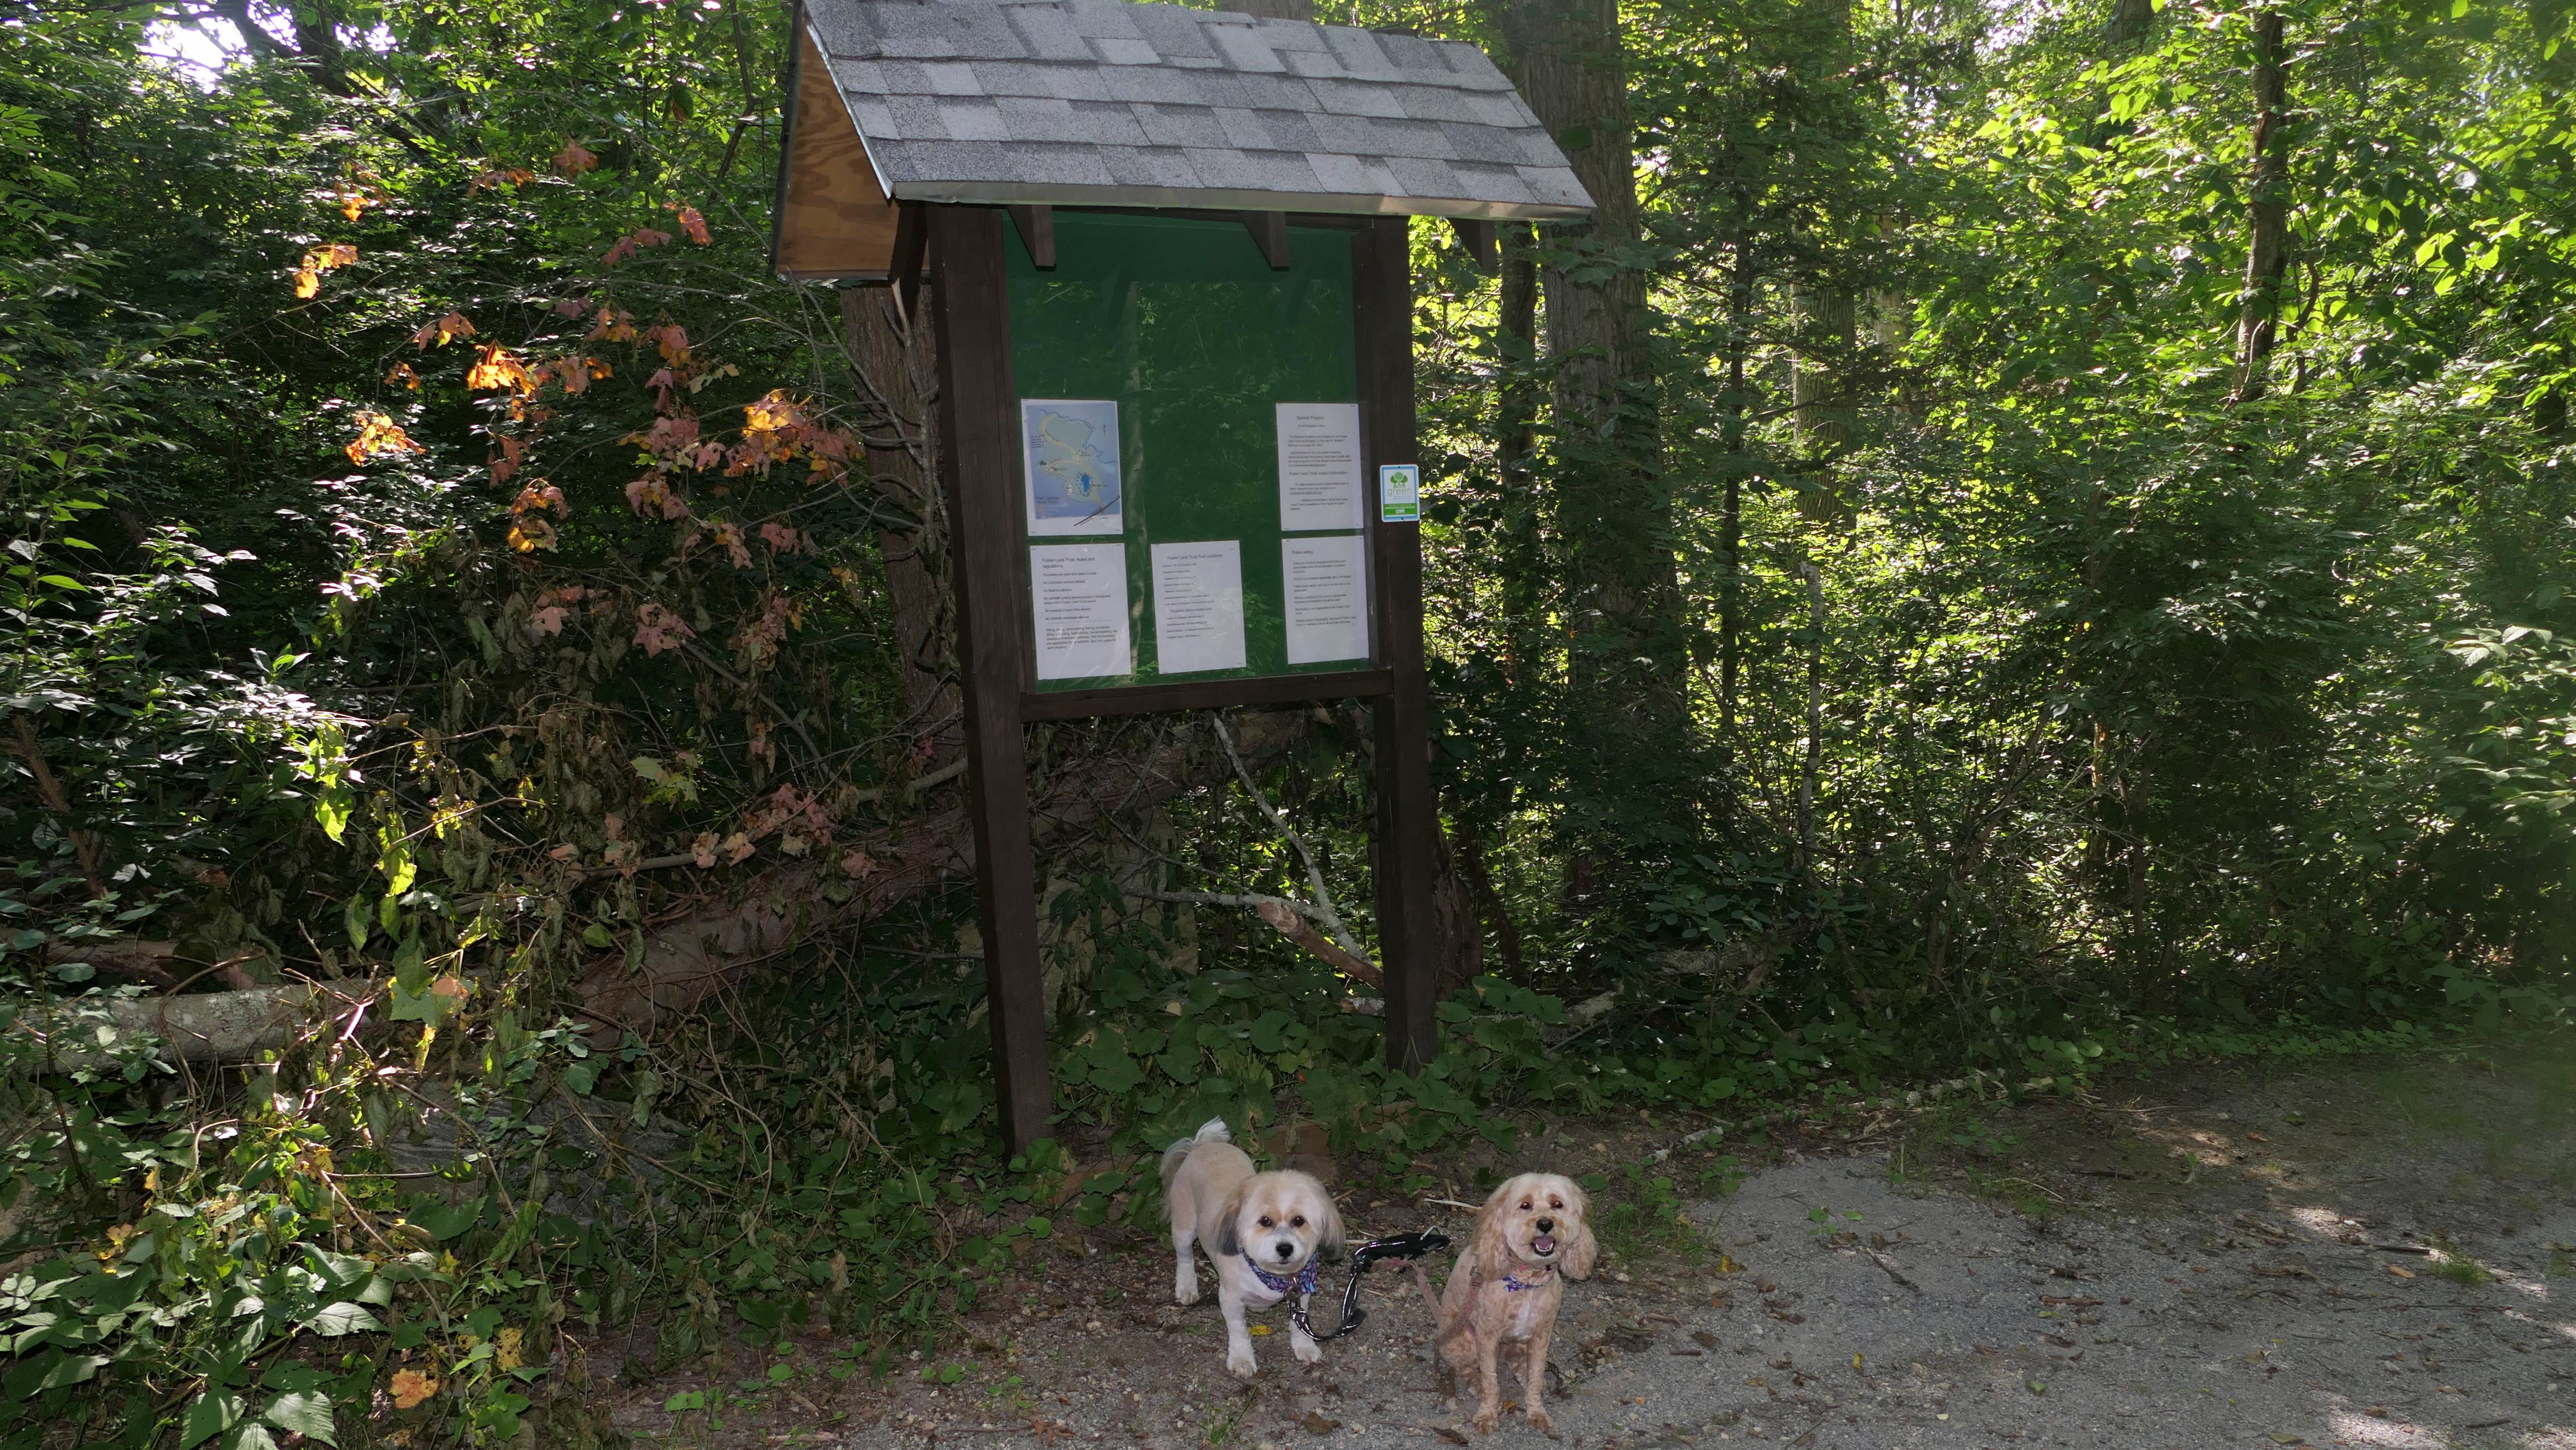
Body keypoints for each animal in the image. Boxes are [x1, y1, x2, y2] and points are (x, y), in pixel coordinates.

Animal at [1160, 1117, 1346, 1378]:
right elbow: (1239, 1332)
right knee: (1184, 1256)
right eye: (1265, 1221)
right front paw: (1242, 1359)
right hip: (1185, 1226)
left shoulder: (1301, 1294)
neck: (1271, 1275)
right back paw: (1187, 1286)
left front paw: (1305, 1346)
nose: (1285, 1248)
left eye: (1299, 1221)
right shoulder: (1230, 1298)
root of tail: (1202, 1146)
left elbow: (1298, 1324)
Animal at [1431, 1172, 1598, 1433]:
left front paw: (1537, 1412)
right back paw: (1476, 1383)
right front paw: (1487, 1415)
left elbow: (1536, 1377)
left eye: (1557, 1204)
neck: (1527, 1281)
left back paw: (1522, 1372)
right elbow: (1491, 1382)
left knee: (1517, 1362)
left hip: (1519, 1343)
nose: (1545, 1224)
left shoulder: (1542, 1336)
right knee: (1465, 1369)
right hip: (1463, 1341)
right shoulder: (1487, 1337)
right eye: (1525, 1205)